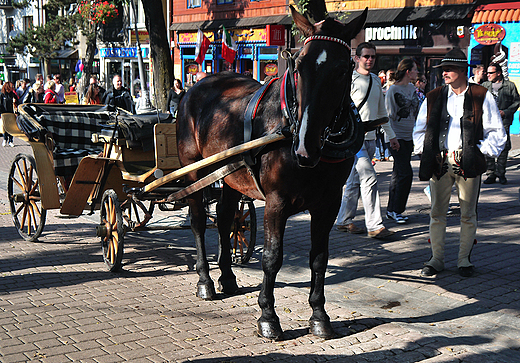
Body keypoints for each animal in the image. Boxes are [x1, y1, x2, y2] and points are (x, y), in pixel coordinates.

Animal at [177, 6, 368, 342]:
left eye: (343, 69)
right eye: (299, 65)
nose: (305, 146)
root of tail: (197, 84)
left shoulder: (328, 203)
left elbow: (319, 258)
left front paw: (319, 315)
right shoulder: (277, 202)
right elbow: (272, 257)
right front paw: (268, 315)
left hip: (232, 175)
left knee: (225, 219)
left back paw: (228, 277)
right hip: (194, 171)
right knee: (199, 221)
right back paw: (205, 281)